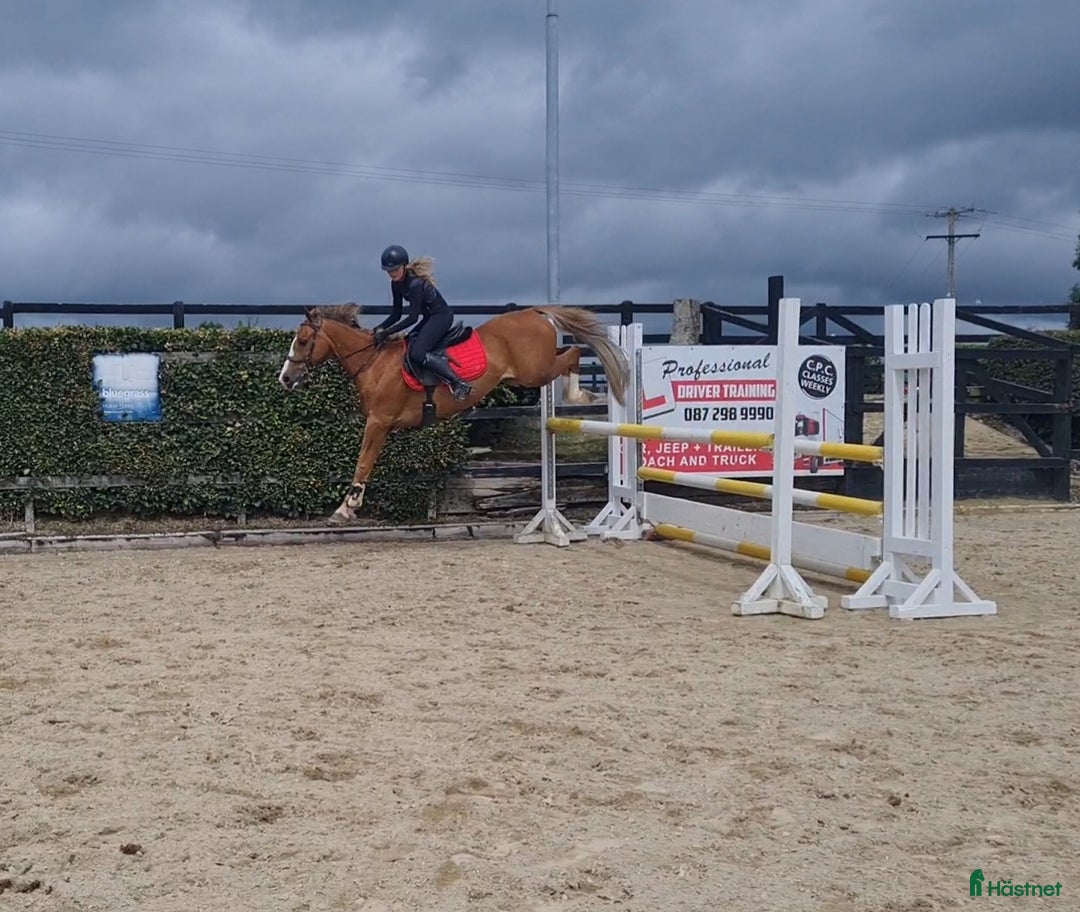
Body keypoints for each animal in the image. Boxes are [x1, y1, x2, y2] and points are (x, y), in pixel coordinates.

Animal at [277, 302, 630, 525]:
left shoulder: (378, 421)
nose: (285, 378)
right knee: (569, 351)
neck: (374, 363)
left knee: (574, 352)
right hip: (532, 370)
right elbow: (366, 462)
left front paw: (345, 509)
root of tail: (534, 312)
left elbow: (363, 462)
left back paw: (581, 394)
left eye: (304, 340)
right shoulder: (381, 425)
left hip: (536, 370)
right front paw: (349, 507)